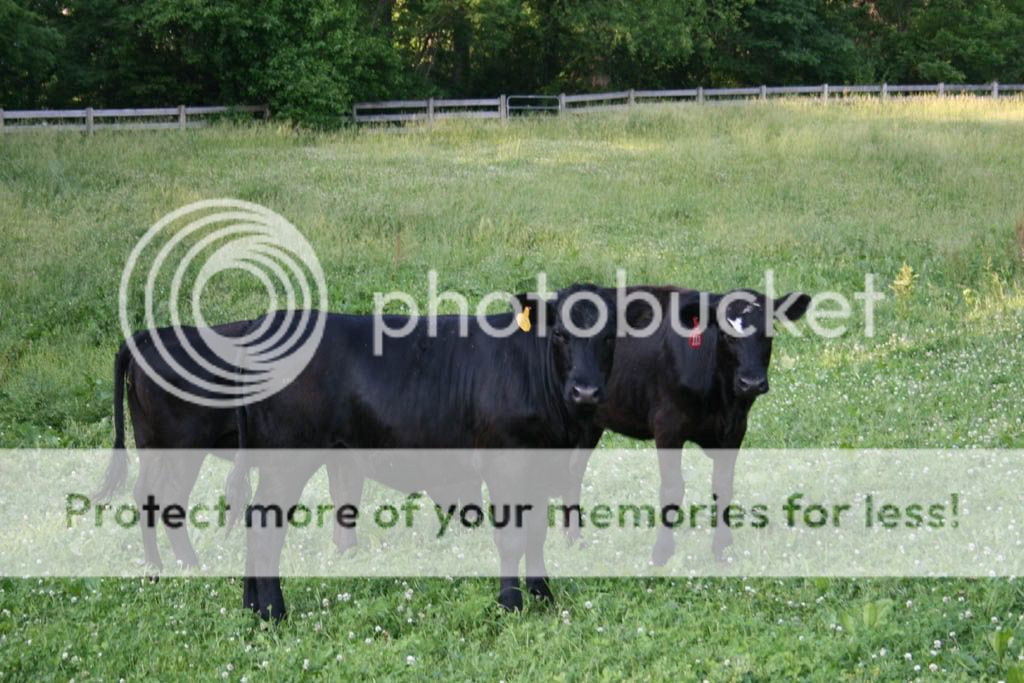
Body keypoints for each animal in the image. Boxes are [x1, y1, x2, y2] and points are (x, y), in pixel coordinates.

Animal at [226, 283, 618, 620]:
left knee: (253, 519)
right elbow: (512, 539)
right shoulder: (506, 465)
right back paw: (274, 611)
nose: (585, 391)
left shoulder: (538, 470)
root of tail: (264, 322)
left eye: (609, 336)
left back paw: (251, 606)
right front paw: (510, 603)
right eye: (560, 334)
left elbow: (536, 533)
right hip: (286, 461)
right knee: (264, 525)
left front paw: (543, 595)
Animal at [561, 286, 810, 565]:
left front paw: (722, 550)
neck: (722, 400)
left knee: (573, 470)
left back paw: (573, 539)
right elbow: (672, 488)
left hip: (591, 423)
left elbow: (723, 485)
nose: (751, 382)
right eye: (726, 335)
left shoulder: (735, 429)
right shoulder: (668, 425)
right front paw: (661, 553)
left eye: (770, 332)